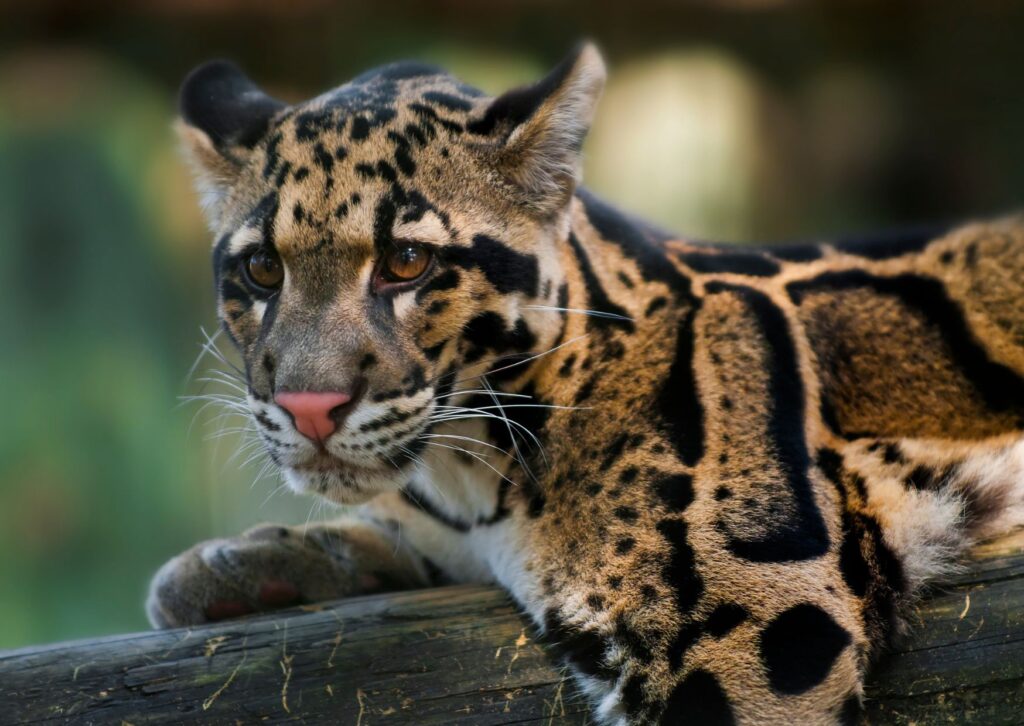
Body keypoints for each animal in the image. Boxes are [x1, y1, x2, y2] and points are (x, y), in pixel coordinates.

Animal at [148, 43, 1024, 724]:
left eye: (408, 262)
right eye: (262, 270)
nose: (309, 406)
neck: (473, 471)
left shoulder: (758, 619)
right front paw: (244, 563)